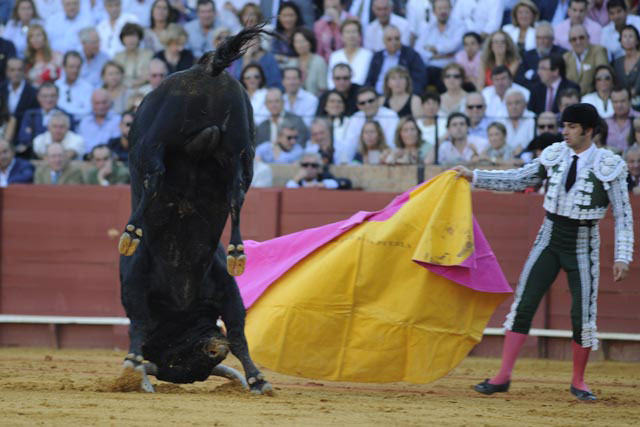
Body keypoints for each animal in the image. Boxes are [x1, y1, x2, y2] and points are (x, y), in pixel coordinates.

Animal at [116, 25, 272, 394]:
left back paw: (131, 233)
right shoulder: (225, 287)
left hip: (155, 137)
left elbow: (238, 331)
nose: (213, 349)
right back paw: (237, 251)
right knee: (236, 193)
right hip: (242, 145)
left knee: (153, 177)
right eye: (178, 362)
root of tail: (207, 67)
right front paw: (258, 379)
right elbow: (238, 330)